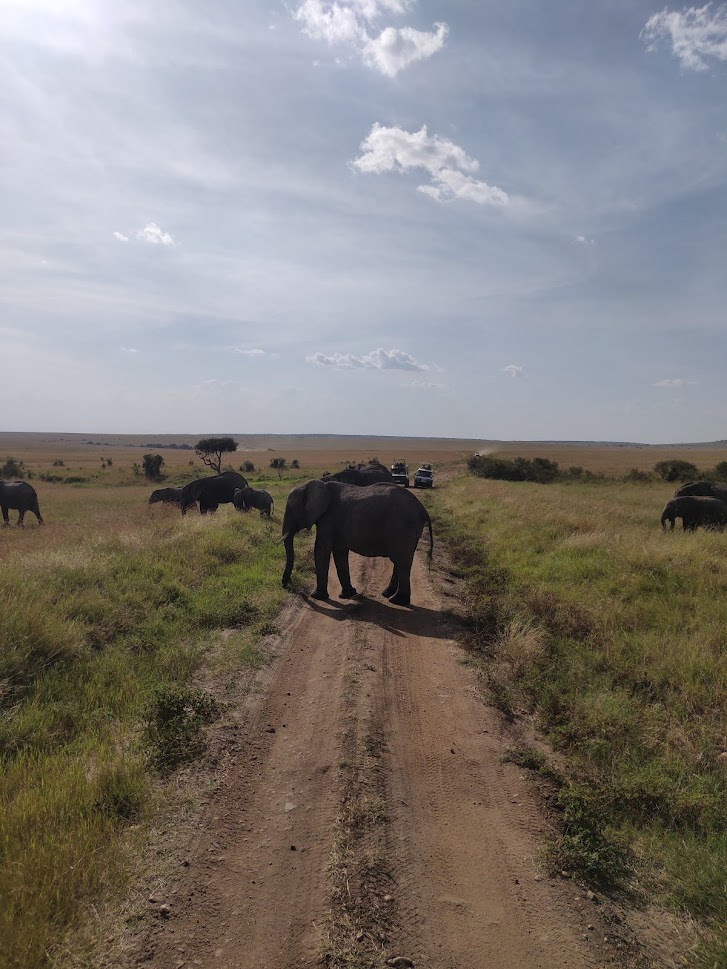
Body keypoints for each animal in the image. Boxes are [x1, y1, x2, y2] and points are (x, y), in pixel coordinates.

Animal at [281, 479, 433, 606]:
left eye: (290, 510)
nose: (286, 585)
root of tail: (423, 509)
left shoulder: (328, 519)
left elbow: (321, 550)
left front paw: (317, 596)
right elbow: (340, 553)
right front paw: (347, 594)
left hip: (403, 527)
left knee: (402, 561)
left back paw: (397, 601)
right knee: (400, 560)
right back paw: (387, 594)